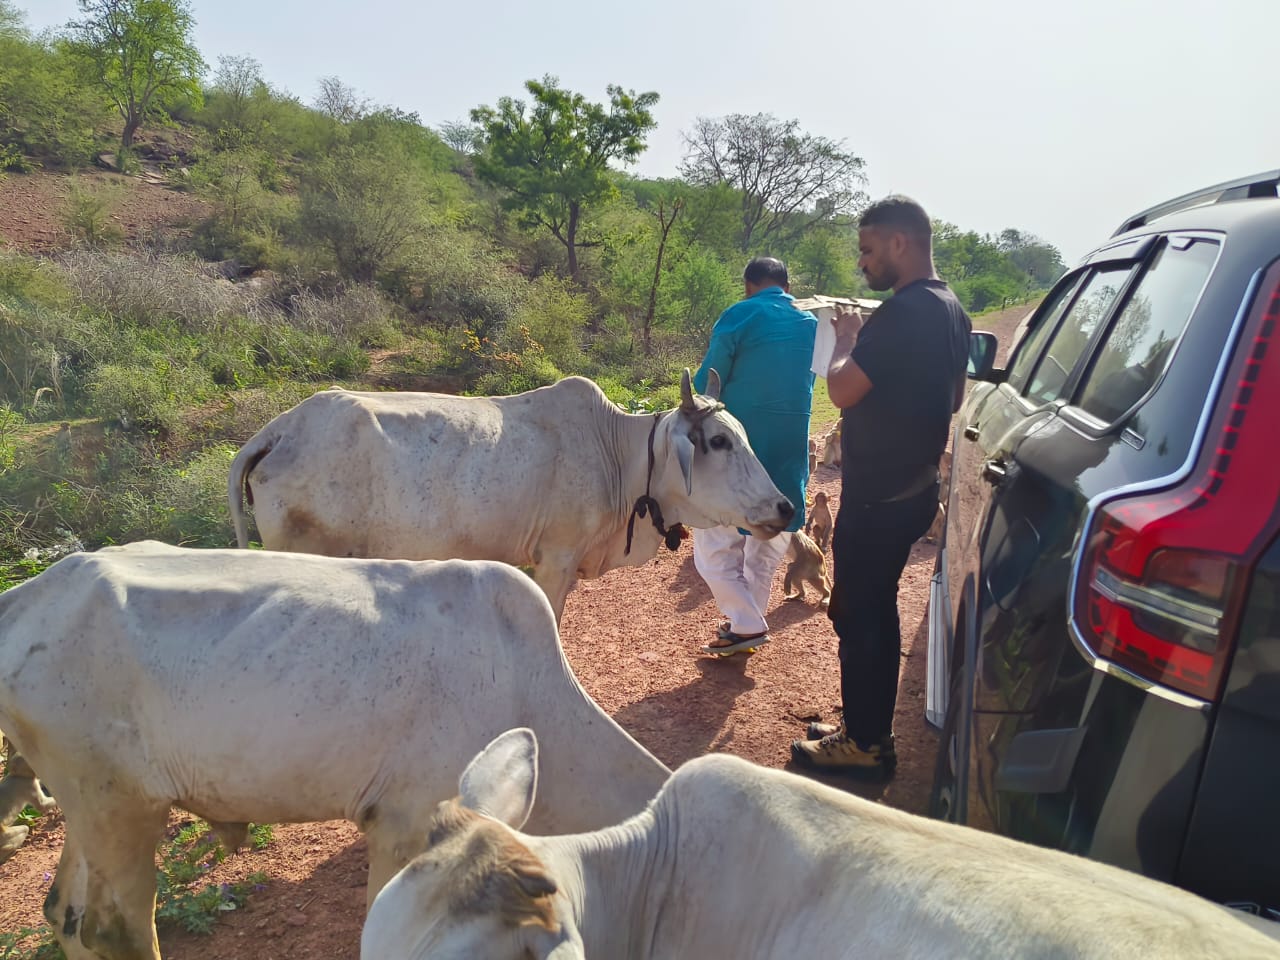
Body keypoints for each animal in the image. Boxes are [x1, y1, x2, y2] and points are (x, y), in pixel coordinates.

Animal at [0, 542, 665, 960]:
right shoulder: (405, 825)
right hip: (118, 804)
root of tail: (20, 602)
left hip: (89, 806)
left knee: (64, 916)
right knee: (116, 932)